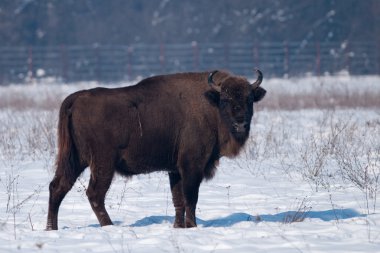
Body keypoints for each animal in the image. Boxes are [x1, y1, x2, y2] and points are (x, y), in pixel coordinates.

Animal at [46, 69, 266, 229]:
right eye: (226, 100)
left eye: (249, 99)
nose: (240, 123)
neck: (211, 103)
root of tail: (76, 98)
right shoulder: (192, 166)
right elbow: (190, 198)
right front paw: (192, 226)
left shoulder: (175, 170)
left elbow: (178, 199)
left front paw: (178, 227)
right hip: (102, 163)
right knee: (94, 194)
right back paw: (109, 226)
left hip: (75, 159)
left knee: (58, 187)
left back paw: (51, 228)